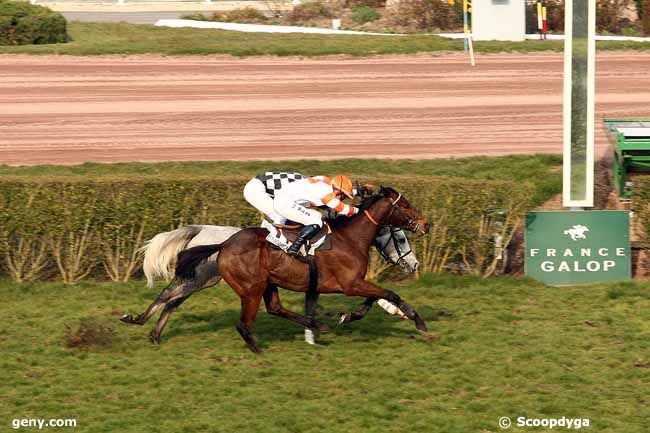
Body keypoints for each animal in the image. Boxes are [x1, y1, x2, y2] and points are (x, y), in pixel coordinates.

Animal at [173, 187, 426, 352]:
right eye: (405, 205)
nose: (426, 224)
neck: (351, 238)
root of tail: (224, 245)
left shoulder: (343, 284)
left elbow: (375, 298)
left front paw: (348, 316)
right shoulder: (350, 284)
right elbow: (390, 293)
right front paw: (418, 321)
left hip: (268, 283)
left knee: (275, 308)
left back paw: (317, 325)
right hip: (251, 288)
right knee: (244, 324)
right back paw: (258, 349)